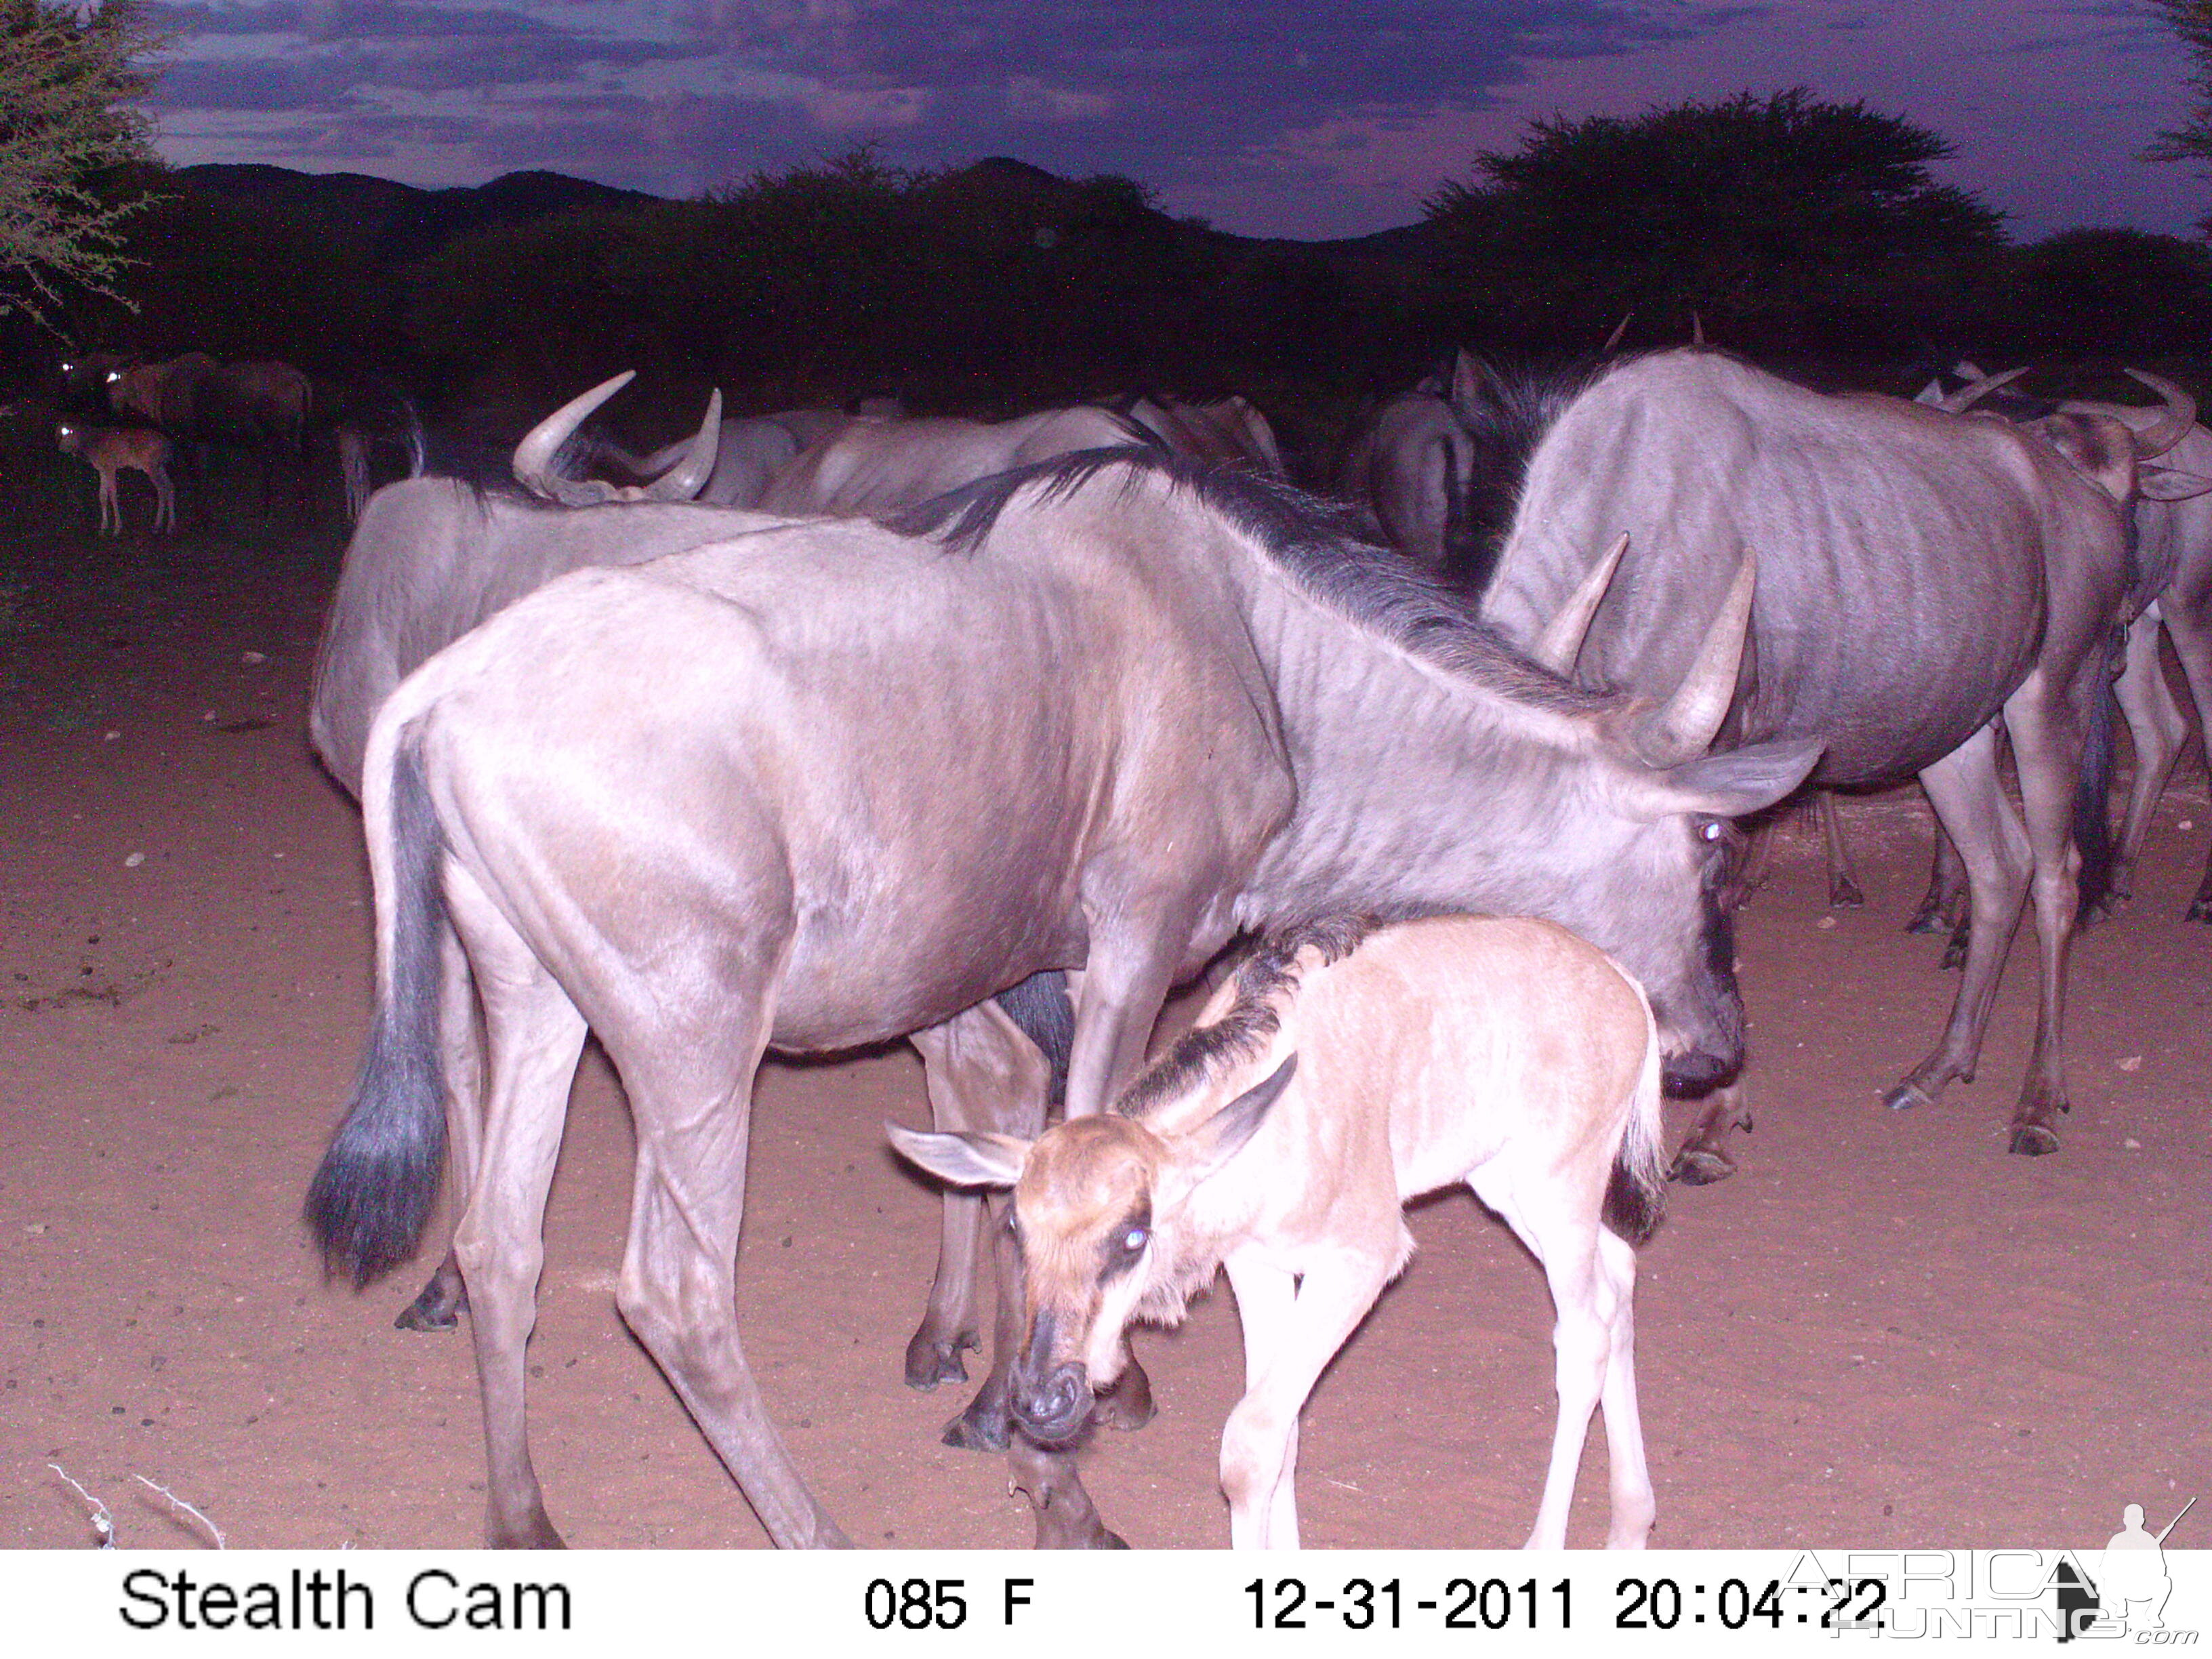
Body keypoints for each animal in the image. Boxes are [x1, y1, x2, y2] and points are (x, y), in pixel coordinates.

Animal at [56, 417, 177, 535]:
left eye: (71, 433)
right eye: (62, 432)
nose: (61, 448)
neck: (91, 446)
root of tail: (168, 446)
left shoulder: (110, 466)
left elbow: (113, 495)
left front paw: (117, 528)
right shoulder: (102, 469)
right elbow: (102, 496)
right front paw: (103, 527)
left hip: (151, 466)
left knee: (162, 489)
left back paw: (158, 525)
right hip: (160, 466)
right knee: (170, 486)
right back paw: (170, 525)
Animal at [880, 916, 1663, 1557]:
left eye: (1135, 1236)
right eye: (1017, 1225)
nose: (1044, 1402)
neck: (1272, 1113)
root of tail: (1627, 989)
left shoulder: (1363, 1260)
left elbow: (1250, 1443)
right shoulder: (1259, 1267)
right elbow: (1280, 1434)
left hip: (1557, 1189)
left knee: (1584, 1333)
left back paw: (1546, 1550)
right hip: (1509, 1186)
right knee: (1620, 1274)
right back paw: (1630, 1527)